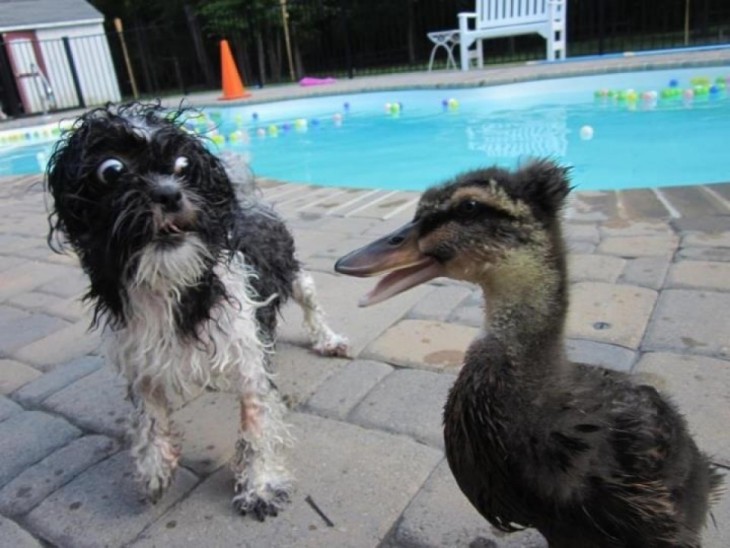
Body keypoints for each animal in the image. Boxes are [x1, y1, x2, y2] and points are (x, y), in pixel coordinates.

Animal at [45, 101, 346, 520]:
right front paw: (155, 469)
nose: (170, 195)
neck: (171, 283)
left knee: (310, 299)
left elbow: (256, 424)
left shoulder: (246, 351)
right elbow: (149, 417)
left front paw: (260, 485)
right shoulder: (140, 354)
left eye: (183, 164)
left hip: (291, 273)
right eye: (111, 170)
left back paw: (328, 339)